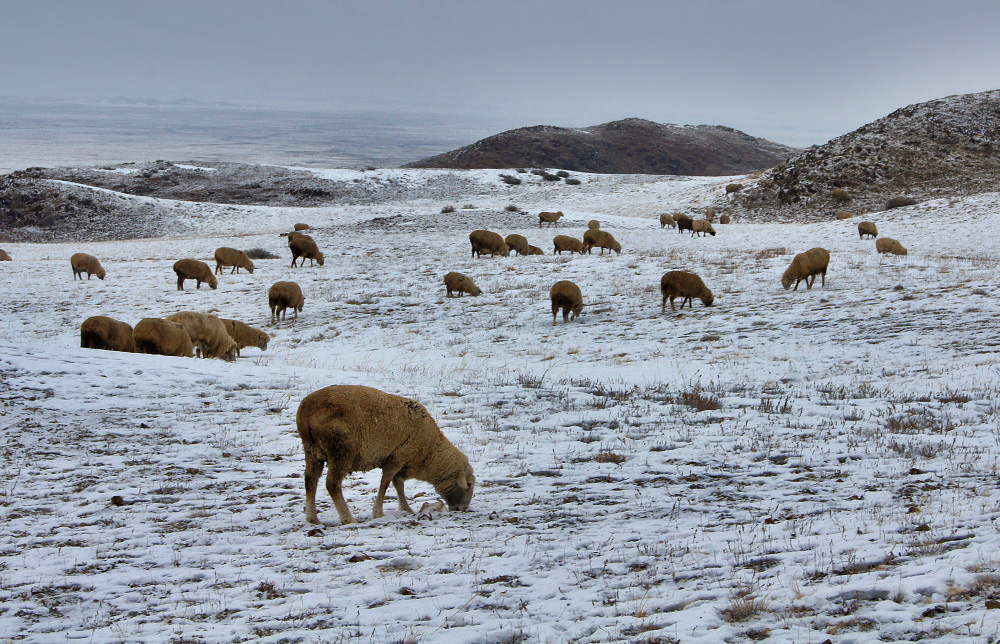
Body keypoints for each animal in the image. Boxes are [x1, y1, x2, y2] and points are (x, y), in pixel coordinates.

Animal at [294, 384, 474, 524]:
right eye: (469, 484)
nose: (463, 509)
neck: (429, 452)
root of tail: (306, 411)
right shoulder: (396, 457)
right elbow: (386, 483)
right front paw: (378, 512)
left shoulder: (401, 461)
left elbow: (398, 484)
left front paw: (406, 508)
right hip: (340, 450)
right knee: (332, 484)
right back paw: (347, 518)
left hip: (312, 450)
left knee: (310, 480)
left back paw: (312, 518)